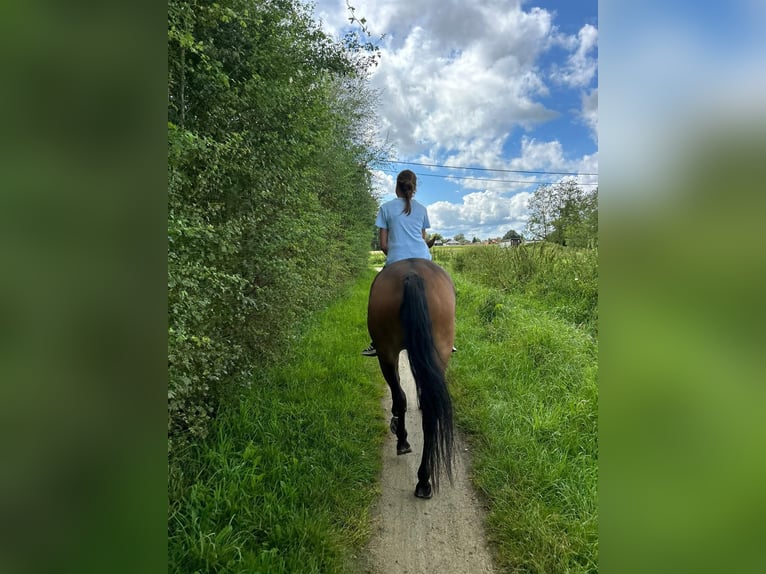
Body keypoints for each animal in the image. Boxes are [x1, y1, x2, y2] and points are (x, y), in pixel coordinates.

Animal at [367, 258, 456, 499]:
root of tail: (412, 275)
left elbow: (399, 394)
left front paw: (399, 431)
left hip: (386, 353)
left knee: (399, 397)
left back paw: (403, 442)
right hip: (438, 351)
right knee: (430, 413)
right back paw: (424, 480)